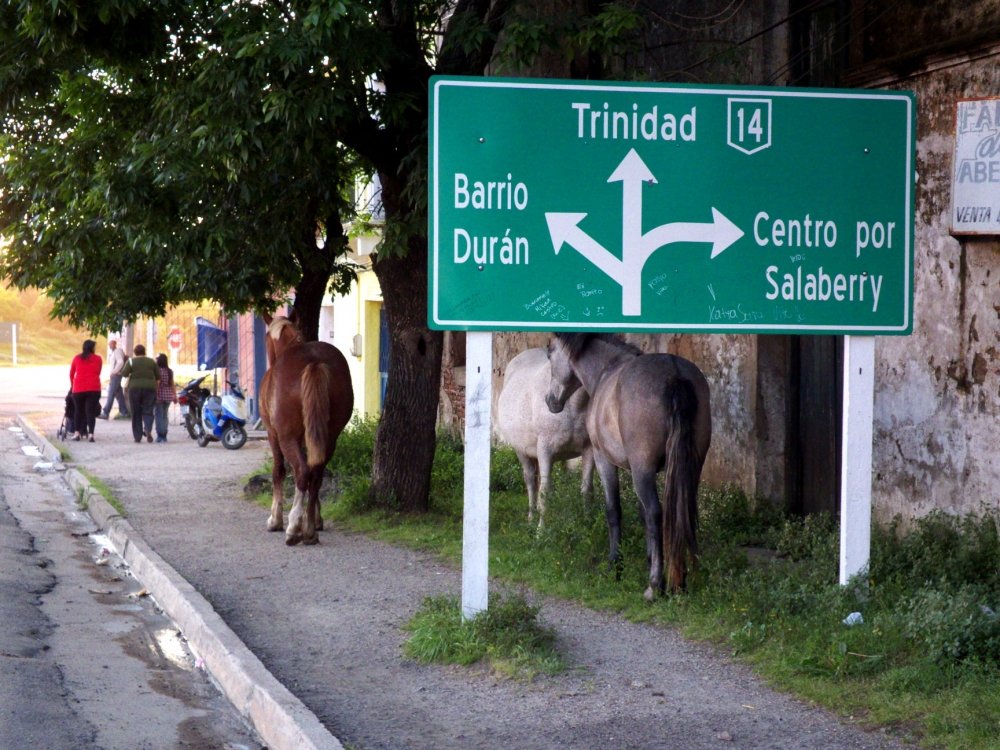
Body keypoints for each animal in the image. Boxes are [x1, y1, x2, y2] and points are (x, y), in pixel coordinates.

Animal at [260, 316, 354, 548]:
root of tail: (314, 362)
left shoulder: (273, 435)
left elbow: (278, 472)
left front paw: (275, 519)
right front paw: (317, 518)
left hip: (287, 438)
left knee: (302, 472)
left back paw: (294, 527)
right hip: (329, 438)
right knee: (316, 473)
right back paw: (310, 529)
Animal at [494, 348, 588, 528]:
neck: (572, 404)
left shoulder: (589, 450)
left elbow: (586, 490)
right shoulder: (545, 450)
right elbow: (545, 492)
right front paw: (541, 530)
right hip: (521, 451)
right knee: (530, 480)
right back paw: (531, 516)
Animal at [548, 334, 712, 600]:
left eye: (549, 353)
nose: (550, 401)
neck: (606, 369)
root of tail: (675, 375)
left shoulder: (604, 460)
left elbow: (614, 511)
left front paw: (615, 566)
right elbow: (642, 514)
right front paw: (650, 560)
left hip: (642, 469)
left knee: (656, 513)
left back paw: (655, 586)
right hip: (690, 468)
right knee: (683, 513)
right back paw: (683, 580)